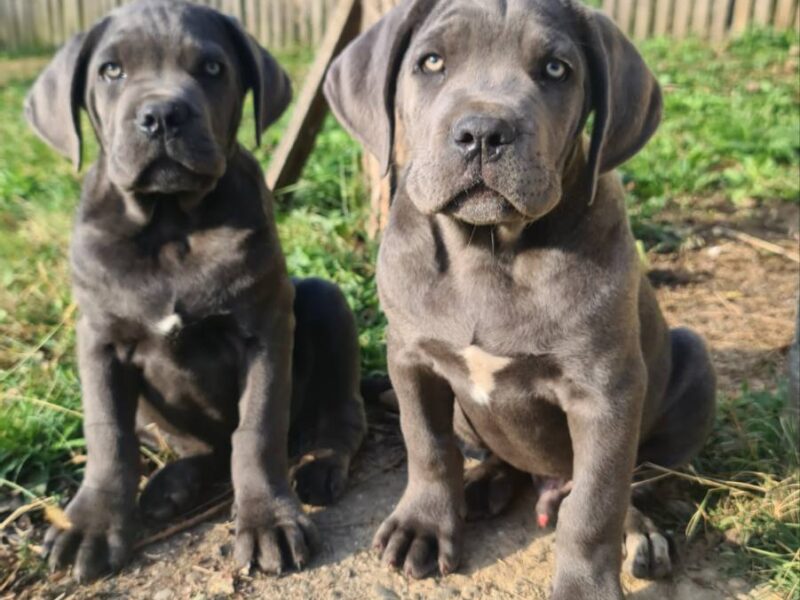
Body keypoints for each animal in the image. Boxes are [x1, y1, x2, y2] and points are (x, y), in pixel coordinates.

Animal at [23, 0, 364, 584]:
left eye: (211, 68)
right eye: (111, 70)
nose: (162, 115)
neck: (169, 223)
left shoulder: (264, 330)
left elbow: (257, 431)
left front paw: (268, 521)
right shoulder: (98, 342)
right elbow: (107, 436)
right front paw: (91, 525)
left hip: (325, 301)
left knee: (338, 413)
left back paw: (320, 463)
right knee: (199, 448)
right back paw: (172, 486)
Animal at [324, 1, 720, 600]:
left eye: (556, 69)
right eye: (431, 61)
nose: (483, 133)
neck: (488, 253)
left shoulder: (606, 392)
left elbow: (596, 502)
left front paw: (584, 587)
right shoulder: (410, 358)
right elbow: (427, 446)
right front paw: (423, 526)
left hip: (693, 360)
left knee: (625, 483)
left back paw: (638, 531)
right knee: (493, 456)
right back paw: (481, 486)